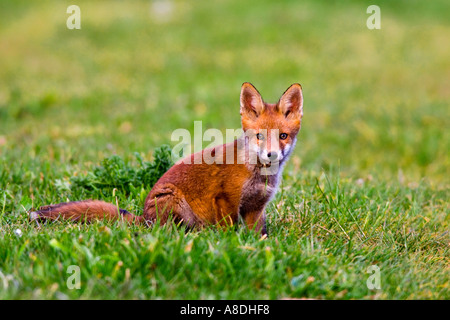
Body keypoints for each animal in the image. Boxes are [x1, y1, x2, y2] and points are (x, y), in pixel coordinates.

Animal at [29, 84, 304, 236]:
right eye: (259, 136)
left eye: (282, 136)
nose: (271, 155)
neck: (258, 175)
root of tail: (143, 218)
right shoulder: (225, 199)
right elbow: (229, 230)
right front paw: (231, 244)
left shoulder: (256, 207)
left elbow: (259, 236)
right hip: (173, 201)